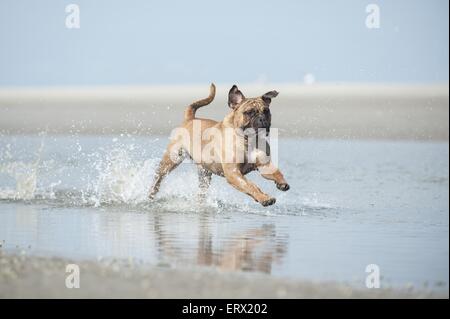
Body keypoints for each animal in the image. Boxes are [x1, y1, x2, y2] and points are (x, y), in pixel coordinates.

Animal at [148, 83, 288, 208]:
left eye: (266, 111)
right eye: (249, 112)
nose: (262, 119)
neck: (248, 140)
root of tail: (189, 118)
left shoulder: (264, 165)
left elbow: (276, 172)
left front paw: (282, 183)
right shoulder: (233, 173)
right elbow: (250, 185)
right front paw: (264, 198)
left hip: (204, 174)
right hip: (171, 160)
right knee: (158, 179)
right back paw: (151, 194)